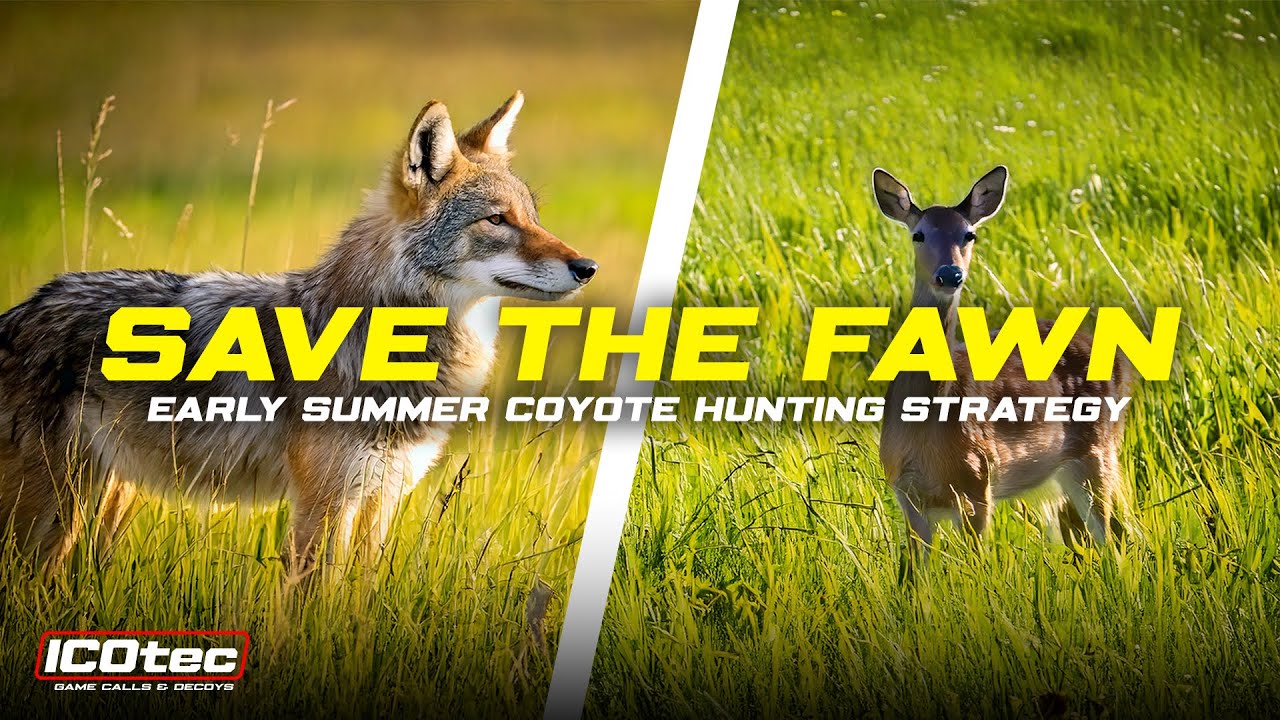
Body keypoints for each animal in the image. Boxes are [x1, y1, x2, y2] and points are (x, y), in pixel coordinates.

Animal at [871, 166, 1129, 562]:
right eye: (918, 234)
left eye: (969, 233)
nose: (950, 274)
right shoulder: (906, 492)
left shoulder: (978, 481)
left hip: (1096, 450)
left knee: (1112, 536)